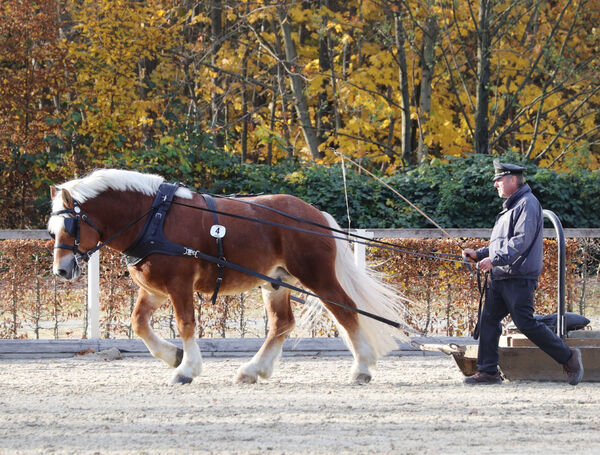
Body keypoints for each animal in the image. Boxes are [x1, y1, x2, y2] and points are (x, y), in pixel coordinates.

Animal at [49, 170, 410, 384]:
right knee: (281, 324)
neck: (154, 217)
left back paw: (361, 367)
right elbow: (138, 323)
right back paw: (254, 370)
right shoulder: (154, 289)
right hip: (275, 282)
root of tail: (315, 214)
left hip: (316, 276)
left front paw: (186, 369)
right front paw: (173, 356)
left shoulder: (179, 284)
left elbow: (186, 324)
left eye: (70, 225)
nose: (62, 270)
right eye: (52, 230)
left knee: (345, 311)